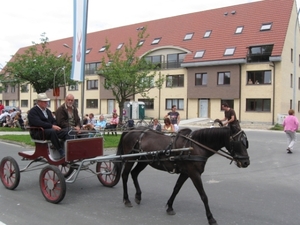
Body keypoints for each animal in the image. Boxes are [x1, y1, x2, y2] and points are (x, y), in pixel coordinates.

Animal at [115, 126, 251, 225]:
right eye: (239, 142)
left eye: (246, 142)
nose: (246, 162)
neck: (195, 147)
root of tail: (131, 130)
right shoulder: (194, 174)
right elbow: (203, 196)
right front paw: (210, 217)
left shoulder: (186, 173)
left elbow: (176, 189)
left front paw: (170, 207)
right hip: (130, 158)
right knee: (125, 175)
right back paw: (126, 199)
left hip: (144, 160)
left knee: (134, 174)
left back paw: (138, 196)